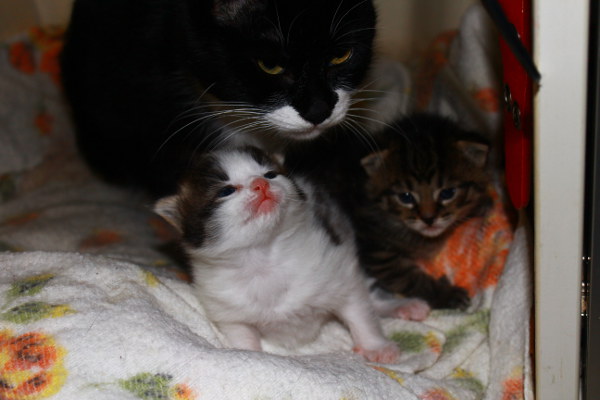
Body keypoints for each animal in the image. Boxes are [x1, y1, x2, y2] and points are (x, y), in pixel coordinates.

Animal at [152, 146, 428, 362]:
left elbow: (359, 313)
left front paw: (376, 346)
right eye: (226, 191)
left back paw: (403, 306)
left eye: (271, 174)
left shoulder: (338, 269)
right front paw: (249, 356)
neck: (263, 256)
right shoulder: (228, 310)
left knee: (370, 296)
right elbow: (242, 333)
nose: (261, 183)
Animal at [352, 114, 492, 310]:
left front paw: (481, 206)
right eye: (405, 197)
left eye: (447, 193)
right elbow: (412, 279)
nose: (428, 219)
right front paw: (446, 295)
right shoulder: (378, 253)